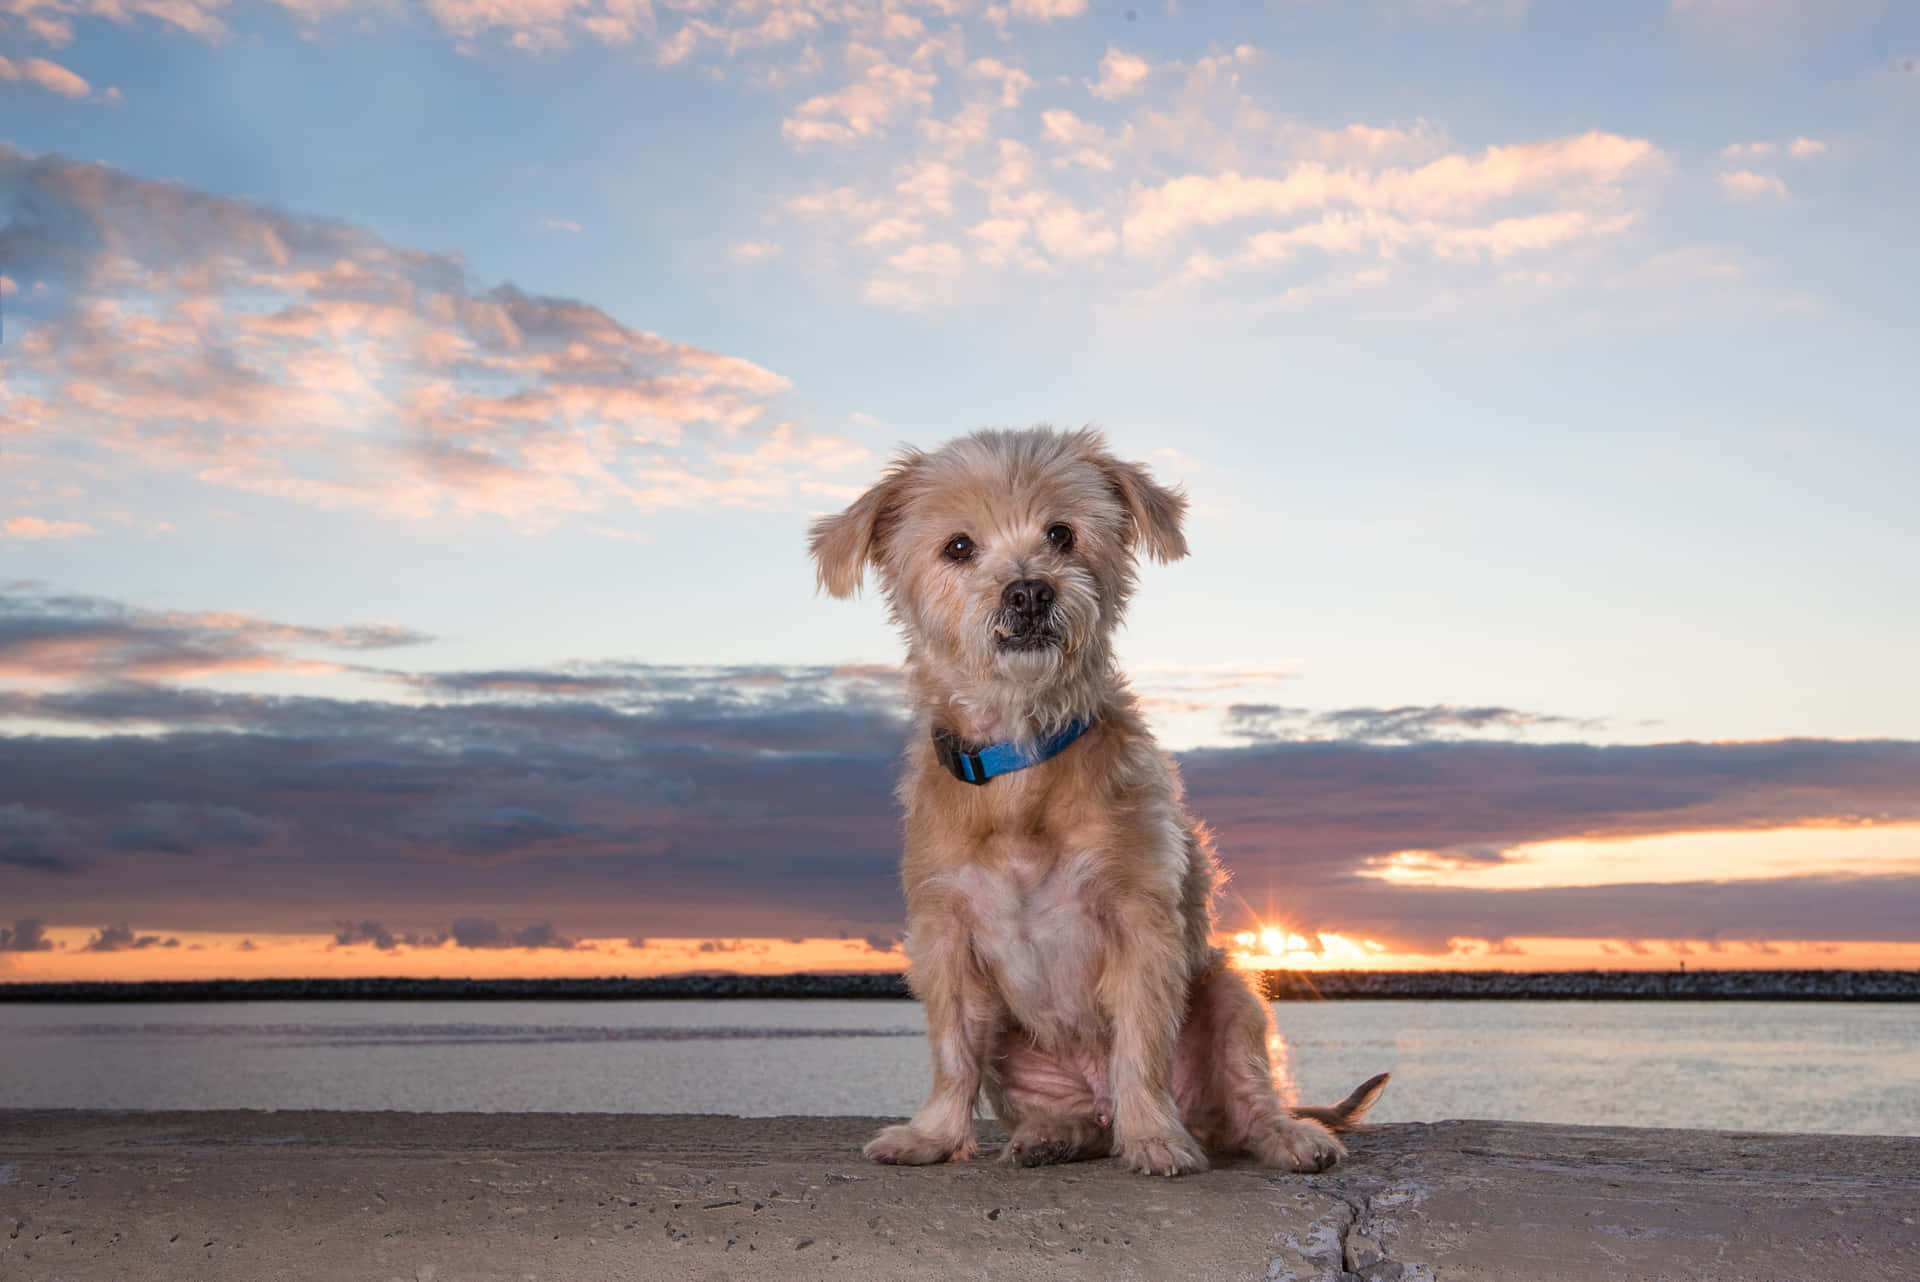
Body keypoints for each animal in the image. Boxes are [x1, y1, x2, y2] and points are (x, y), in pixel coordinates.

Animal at [806, 426, 1382, 1174]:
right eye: (958, 546)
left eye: (1061, 534)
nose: (1028, 592)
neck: (1023, 755)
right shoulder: (946, 936)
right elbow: (952, 1054)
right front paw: (931, 1136)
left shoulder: (1140, 923)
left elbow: (1139, 1046)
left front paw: (1155, 1137)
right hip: (1016, 1050)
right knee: (1065, 1110)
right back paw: (1054, 1134)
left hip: (1231, 994)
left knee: (1250, 1100)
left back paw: (1282, 1136)